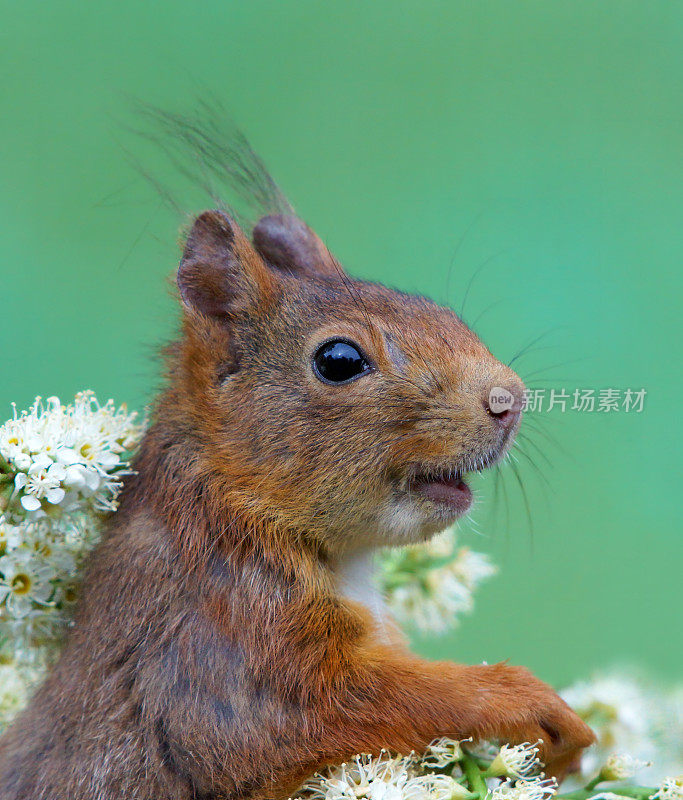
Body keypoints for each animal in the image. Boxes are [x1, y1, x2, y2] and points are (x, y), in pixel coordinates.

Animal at [0, 203, 592, 796]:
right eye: (338, 360)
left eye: (444, 314)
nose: (510, 400)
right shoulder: (222, 631)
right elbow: (316, 708)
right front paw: (527, 702)